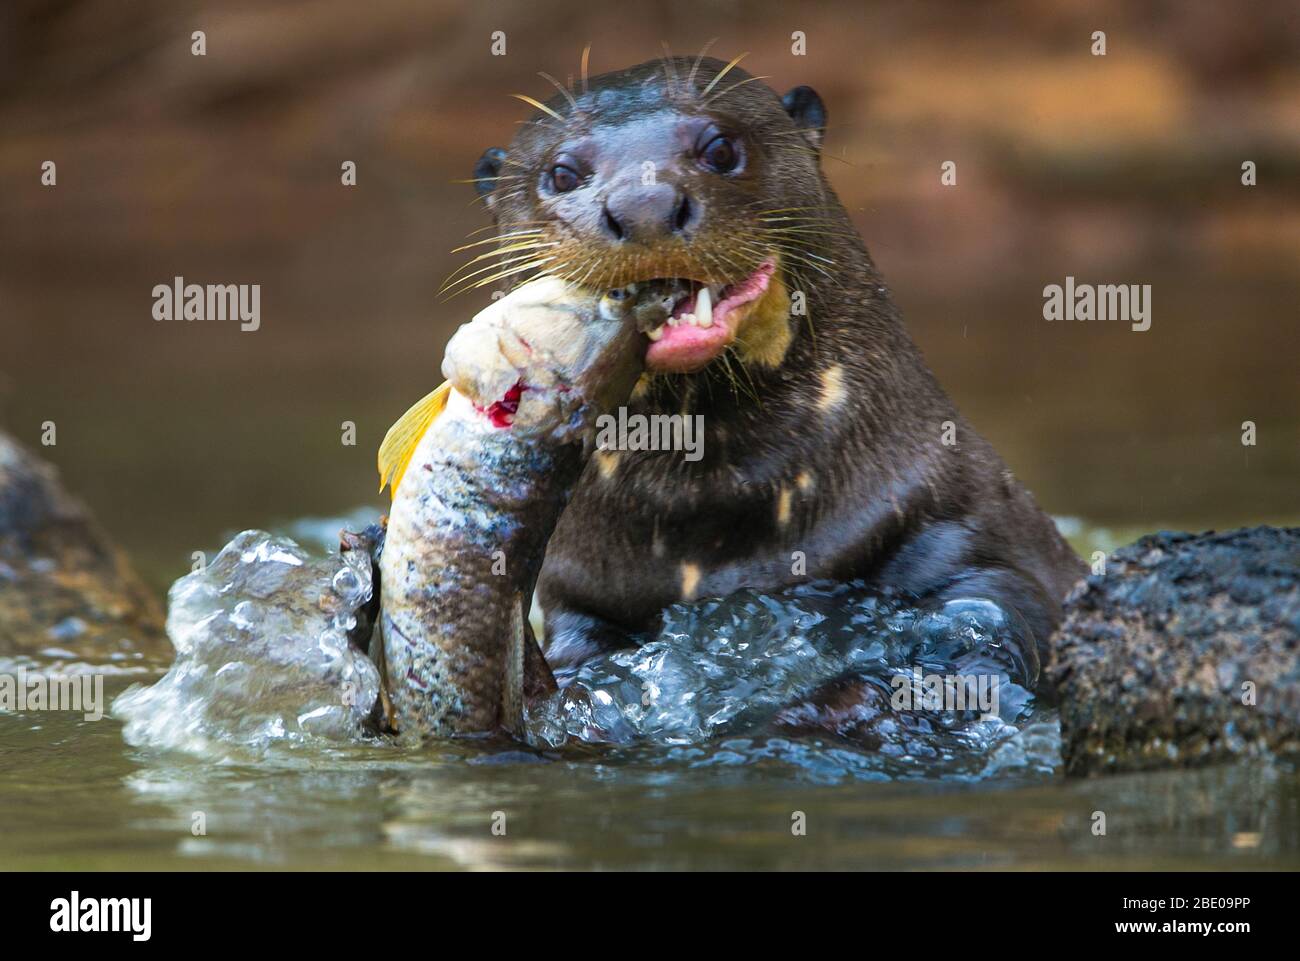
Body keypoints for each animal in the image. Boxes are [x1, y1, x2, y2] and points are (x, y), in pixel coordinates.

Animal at [470, 56, 1086, 697]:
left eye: (720, 147)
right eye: (563, 173)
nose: (644, 205)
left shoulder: (964, 527)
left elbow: (991, 612)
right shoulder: (581, 597)